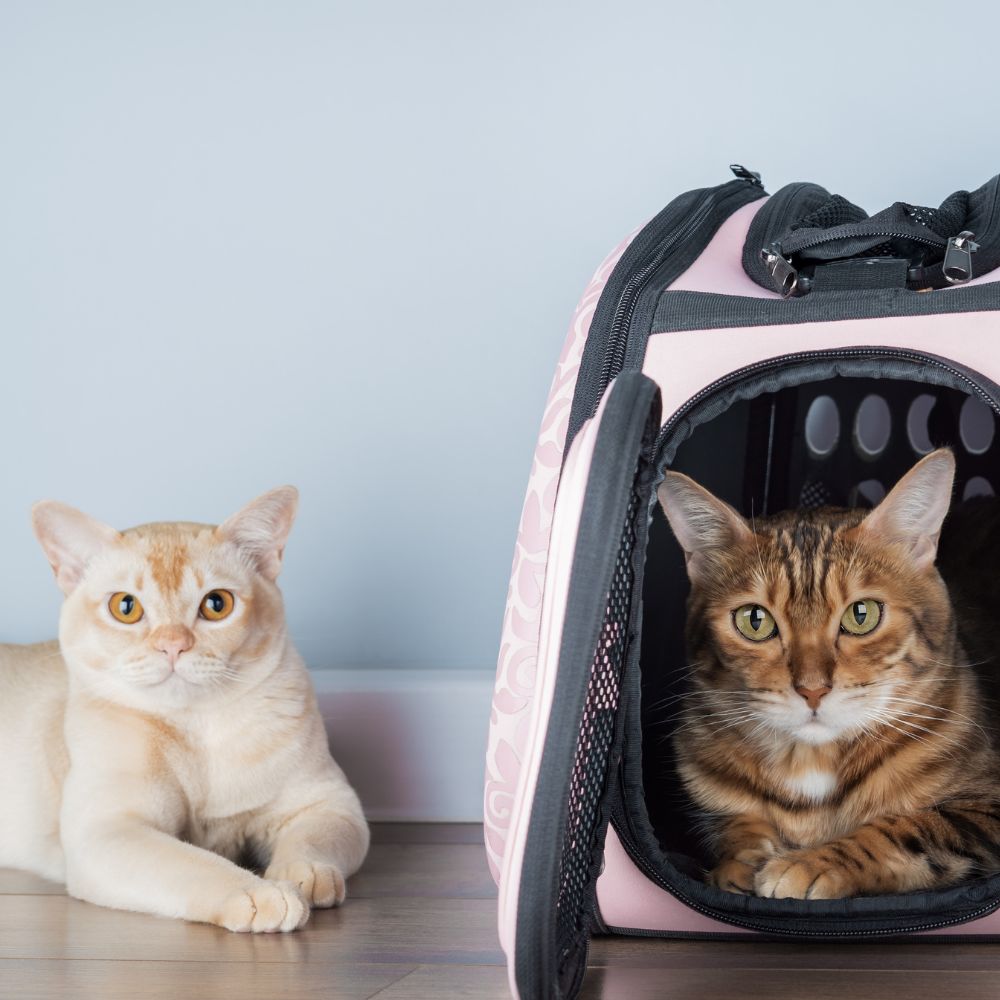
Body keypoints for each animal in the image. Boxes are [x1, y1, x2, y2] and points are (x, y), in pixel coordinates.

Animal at [0, 487, 368, 932]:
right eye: (125, 607)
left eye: (216, 604)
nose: (173, 645)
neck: (198, 728)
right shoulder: (107, 831)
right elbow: (196, 863)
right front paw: (262, 893)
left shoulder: (329, 802)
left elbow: (310, 842)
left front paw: (300, 877)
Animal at [656, 448, 1000, 900]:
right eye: (754, 620)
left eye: (862, 615)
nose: (813, 690)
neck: (810, 763)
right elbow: (736, 826)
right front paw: (740, 863)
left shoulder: (986, 808)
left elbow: (909, 826)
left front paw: (810, 863)